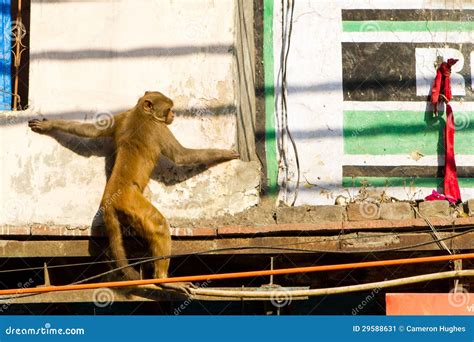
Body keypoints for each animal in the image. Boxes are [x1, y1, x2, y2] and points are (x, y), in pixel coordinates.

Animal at [27, 91, 239, 292]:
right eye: (169, 109)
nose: (173, 115)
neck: (141, 113)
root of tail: (108, 198)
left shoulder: (123, 116)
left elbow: (91, 130)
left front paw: (50, 125)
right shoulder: (159, 128)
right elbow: (182, 156)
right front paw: (223, 154)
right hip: (131, 202)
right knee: (159, 225)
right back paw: (163, 280)